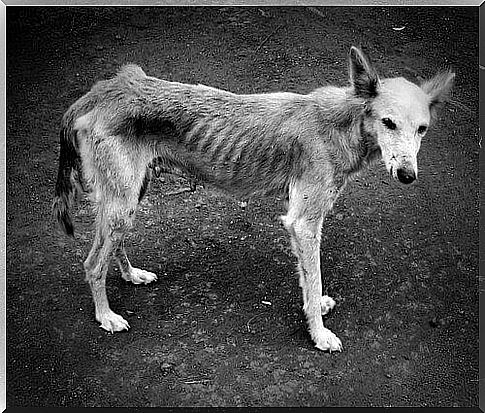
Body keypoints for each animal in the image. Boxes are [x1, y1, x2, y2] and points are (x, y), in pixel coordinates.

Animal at [53, 47, 454, 350]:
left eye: (422, 129)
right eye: (388, 123)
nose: (407, 175)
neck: (341, 125)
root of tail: (106, 88)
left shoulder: (302, 224)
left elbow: (309, 281)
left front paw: (316, 310)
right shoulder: (303, 223)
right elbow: (314, 279)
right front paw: (319, 334)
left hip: (127, 200)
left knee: (110, 250)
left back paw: (130, 274)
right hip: (121, 205)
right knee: (92, 265)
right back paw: (106, 316)